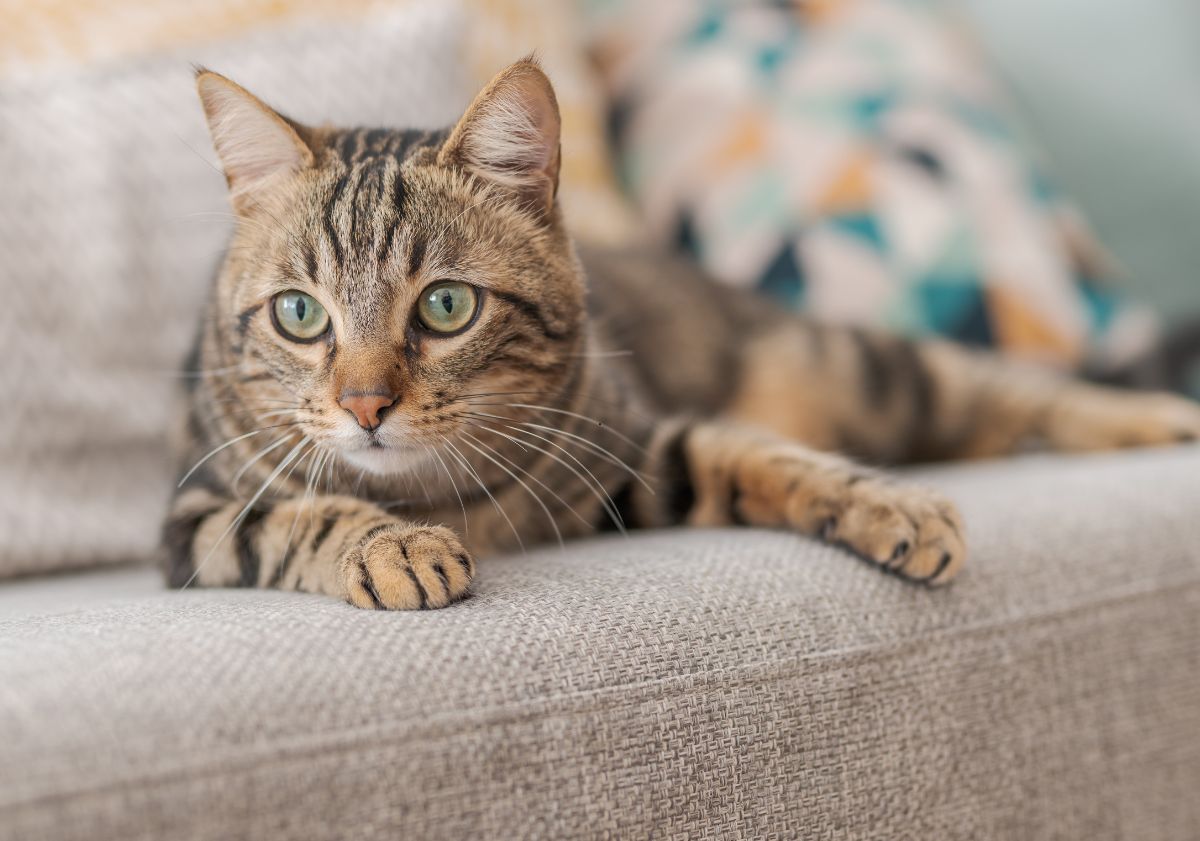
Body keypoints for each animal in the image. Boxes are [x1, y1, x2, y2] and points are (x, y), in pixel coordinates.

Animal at [164, 60, 1200, 609]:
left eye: (446, 307)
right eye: (301, 314)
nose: (365, 405)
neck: (437, 492)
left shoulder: (638, 450)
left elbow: (759, 454)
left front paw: (887, 504)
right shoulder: (195, 521)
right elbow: (300, 514)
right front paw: (392, 547)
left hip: (861, 364)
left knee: (1011, 388)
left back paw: (1151, 417)